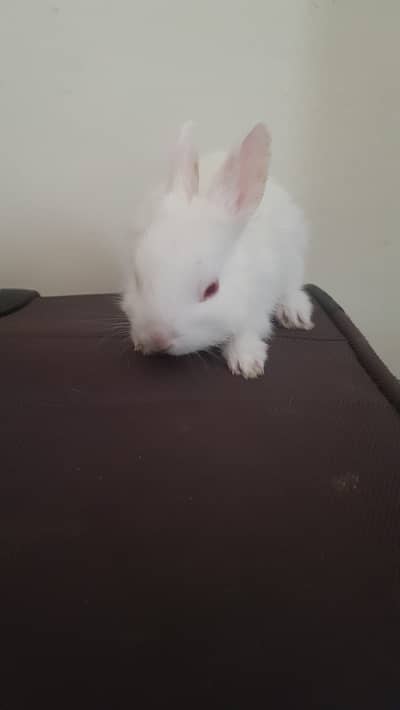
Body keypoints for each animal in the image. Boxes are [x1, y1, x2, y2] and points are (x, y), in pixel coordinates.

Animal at [121, 122, 313, 378]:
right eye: (137, 279)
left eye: (212, 289)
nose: (158, 339)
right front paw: (141, 344)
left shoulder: (256, 303)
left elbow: (246, 330)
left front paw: (247, 363)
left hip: (294, 257)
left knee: (293, 287)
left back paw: (295, 314)